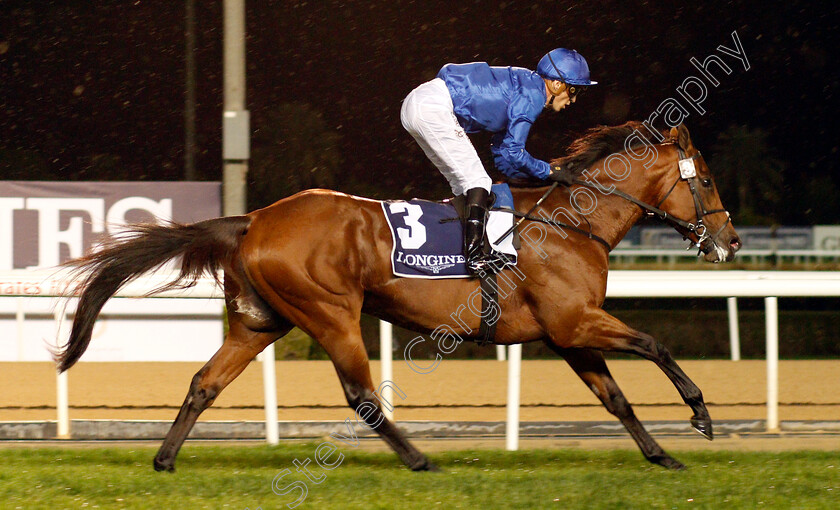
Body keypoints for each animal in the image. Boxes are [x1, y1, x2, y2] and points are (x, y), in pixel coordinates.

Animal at [55, 121, 740, 472]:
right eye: (705, 180)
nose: (731, 241)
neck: (572, 223)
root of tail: (254, 218)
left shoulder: (566, 334)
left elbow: (616, 397)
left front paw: (661, 455)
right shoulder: (576, 323)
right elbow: (655, 343)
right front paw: (701, 416)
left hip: (260, 322)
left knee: (204, 381)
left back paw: (165, 458)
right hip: (332, 312)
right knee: (360, 394)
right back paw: (418, 458)